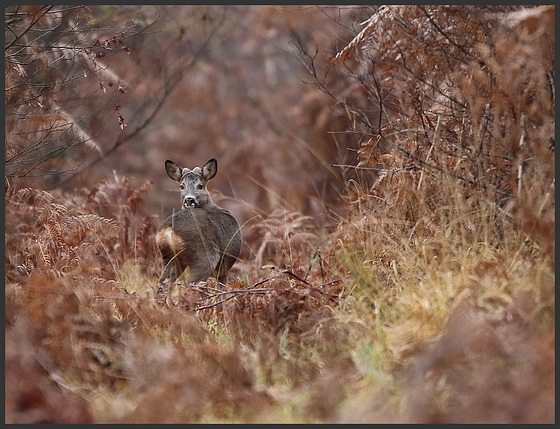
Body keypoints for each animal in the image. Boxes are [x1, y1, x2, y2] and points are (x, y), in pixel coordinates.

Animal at [154, 157, 242, 300]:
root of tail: (169, 229)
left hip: (169, 258)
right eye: (182, 186)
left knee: (161, 286)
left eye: (200, 185)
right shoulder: (223, 267)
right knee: (189, 287)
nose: (189, 200)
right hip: (204, 256)